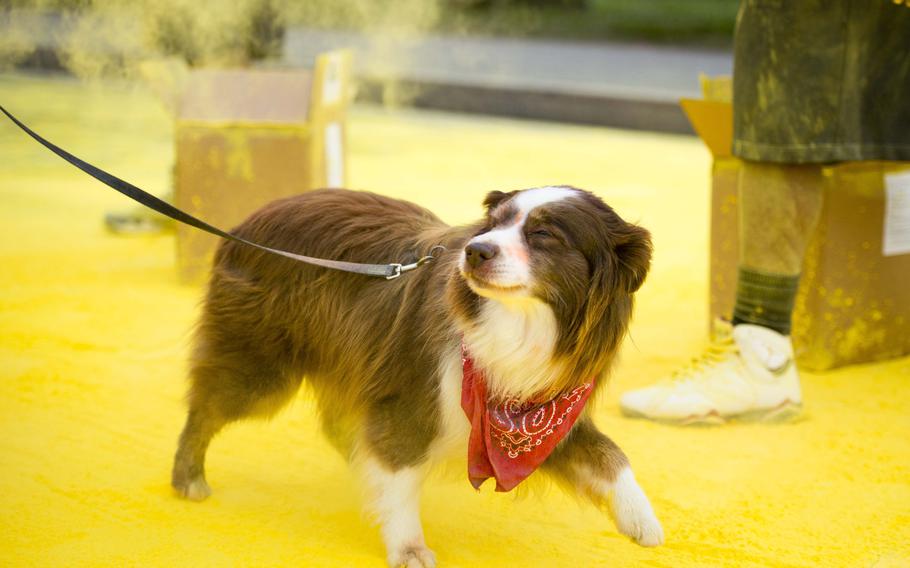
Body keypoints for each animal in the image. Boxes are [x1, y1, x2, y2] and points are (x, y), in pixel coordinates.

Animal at [171, 185, 664, 564]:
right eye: (492, 224)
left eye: (543, 234)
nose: (475, 251)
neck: (514, 325)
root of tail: (246, 222)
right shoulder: (407, 396)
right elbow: (400, 472)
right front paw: (407, 547)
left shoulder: (543, 408)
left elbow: (611, 455)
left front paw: (642, 520)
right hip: (259, 368)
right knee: (206, 406)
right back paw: (188, 477)